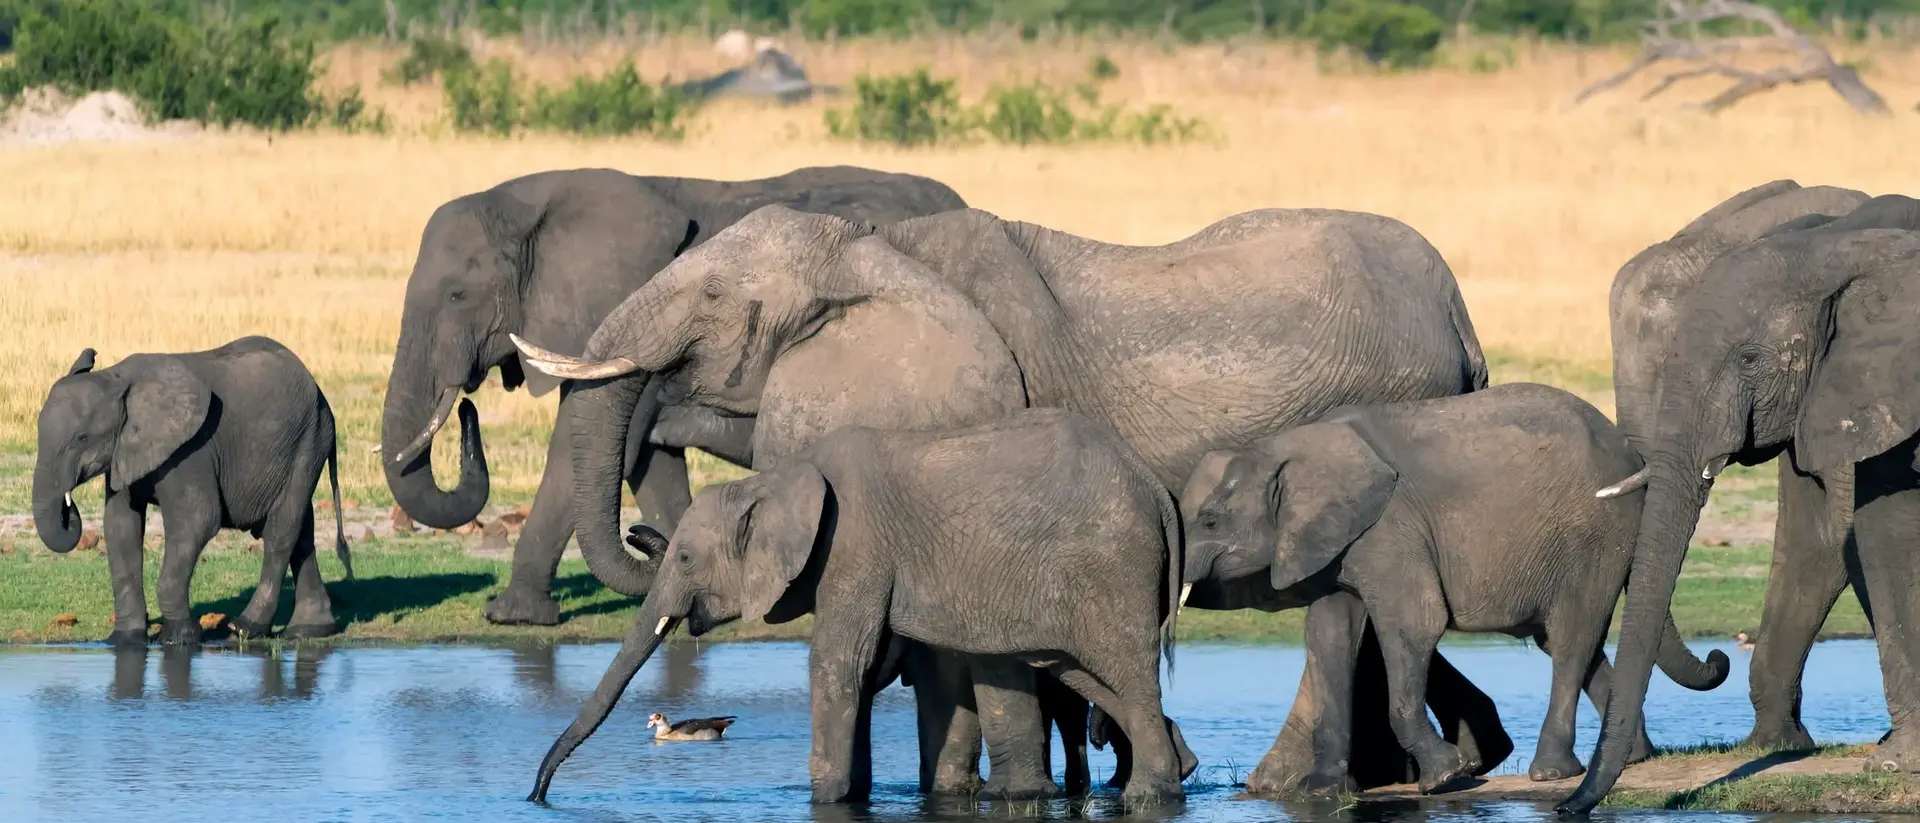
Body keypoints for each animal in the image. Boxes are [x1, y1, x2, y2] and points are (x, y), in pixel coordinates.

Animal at [33, 336, 354, 646]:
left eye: (81, 438)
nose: (68, 505)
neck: (117, 378)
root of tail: (319, 390)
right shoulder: (125, 451)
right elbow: (120, 527)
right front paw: (123, 641)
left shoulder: (191, 449)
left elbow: (197, 521)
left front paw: (178, 639)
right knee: (302, 532)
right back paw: (309, 631)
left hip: (308, 441)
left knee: (281, 531)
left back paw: (245, 628)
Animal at [378, 165, 965, 628]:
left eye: (458, 295)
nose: (466, 407)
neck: (533, 202)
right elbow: (650, 465)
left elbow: (582, 451)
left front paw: (511, 616)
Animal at [529, 410, 1192, 805]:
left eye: (687, 558)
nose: (536, 796)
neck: (777, 479)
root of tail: (1157, 490)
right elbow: (862, 669)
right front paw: (850, 795)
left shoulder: (854, 546)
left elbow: (837, 663)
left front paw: (822, 799)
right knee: (1082, 672)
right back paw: (1177, 771)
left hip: (1113, 568)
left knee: (1126, 672)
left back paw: (1148, 797)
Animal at [1179, 382, 1731, 792]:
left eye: (1210, 522)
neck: (1278, 448)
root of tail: (1632, 453)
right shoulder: (1331, 542)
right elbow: (1329, 636)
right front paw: (1324, 791)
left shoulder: (1390, 529)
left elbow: (1414, 626)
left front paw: (1445, 777)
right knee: (1576, 641)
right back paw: (1636, 756)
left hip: (1597, 533)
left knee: (1571, 639)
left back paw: (1551, 772)